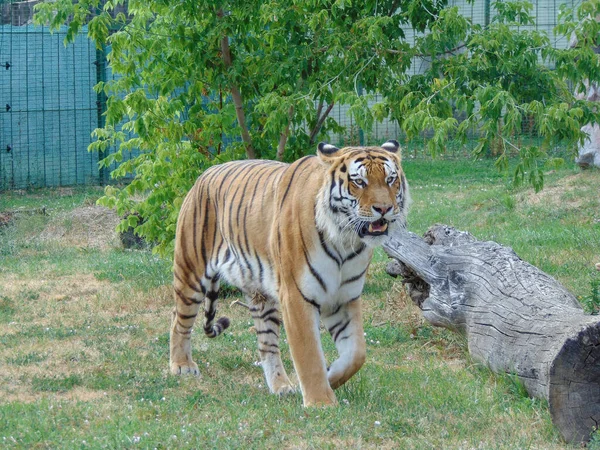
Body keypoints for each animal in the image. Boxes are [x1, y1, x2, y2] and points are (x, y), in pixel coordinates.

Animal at [171, 139, 410, 406]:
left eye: (390, 179)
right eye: (359, 182)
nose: (384, 208)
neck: (345, 242)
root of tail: (204, 174)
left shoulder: (344, 297)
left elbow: (356, 354)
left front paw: (331, 376)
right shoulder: (297, 296)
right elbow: (309, 356)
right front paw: (321, 402)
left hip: (261, 296)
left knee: (267, 345)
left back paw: (281, 386)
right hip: (191, 272)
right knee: (178, 319)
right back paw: (181, 366)